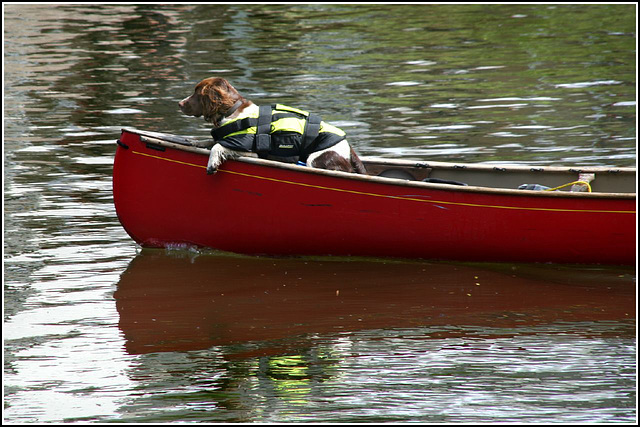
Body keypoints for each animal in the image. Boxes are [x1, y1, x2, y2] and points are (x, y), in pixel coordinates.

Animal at [178, 77, 368, 176]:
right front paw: (194, 142)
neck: (231, 111)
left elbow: (217, 146)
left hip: (316, 159)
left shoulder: (248, 148)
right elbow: (210, 141)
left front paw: (212, 163)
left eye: (196, 92)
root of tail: (349, 148)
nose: (179, 103)